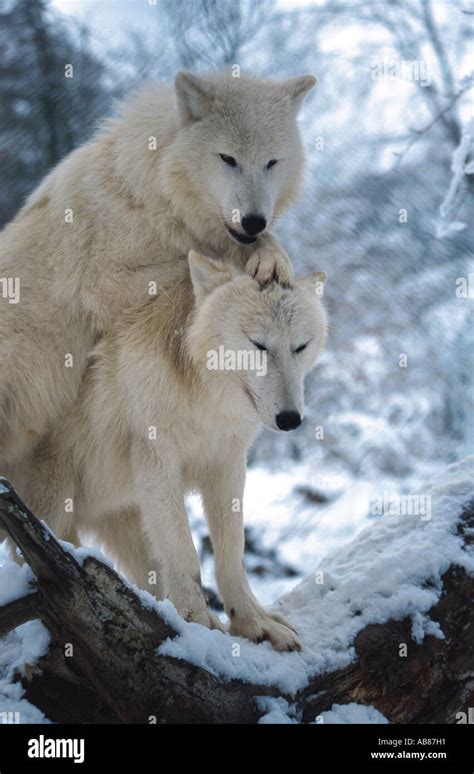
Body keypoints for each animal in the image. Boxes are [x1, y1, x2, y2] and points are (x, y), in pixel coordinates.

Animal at [0, 71, 318, 478]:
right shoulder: (111, 284)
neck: (153, 196)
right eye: (228, 159)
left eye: (271, 162)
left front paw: (273, 256)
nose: (253, 221)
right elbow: (196, 261)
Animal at [12, 252, 328, 652]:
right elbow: (184, 553)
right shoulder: (156, 461)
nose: (290, 419)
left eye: (301, 346)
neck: (204, 403)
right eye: (259, 345)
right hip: (51, 506)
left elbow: (232, 556)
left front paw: (253, 623)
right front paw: (198, 623)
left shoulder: (229, 466)